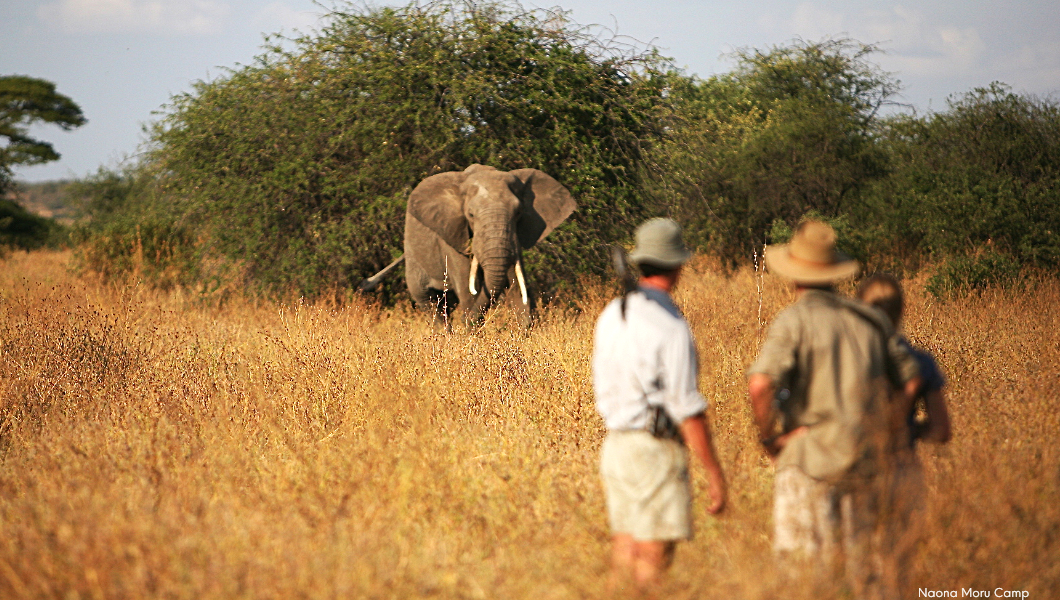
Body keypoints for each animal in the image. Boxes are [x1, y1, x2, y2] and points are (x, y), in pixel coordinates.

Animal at [400, 163, 576, 328]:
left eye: (518, 212)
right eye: (470, 214)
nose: (464, 321)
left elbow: (517, 284)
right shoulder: (453, 236)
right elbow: (469, 289)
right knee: (429, 301)